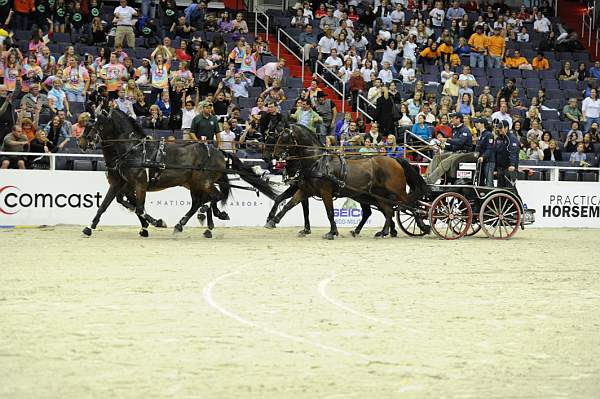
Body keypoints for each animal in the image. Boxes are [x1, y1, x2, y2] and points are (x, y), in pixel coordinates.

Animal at [77, 108, 278, 238]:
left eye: (96, 123)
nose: (82, 142)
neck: (132, 149)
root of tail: (218, 151)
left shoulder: (139, 184)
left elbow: (139, 207)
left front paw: (156, 223)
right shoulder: (119, 183)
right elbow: (106, 205)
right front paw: (89, 227)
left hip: (203, 182)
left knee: (212, 197)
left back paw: (209, 220)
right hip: (194, 184)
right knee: (200, 202)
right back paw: (191, 225)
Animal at [266, 124, 426, 241]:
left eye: (285, 137)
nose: (275, 155)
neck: (316, 162)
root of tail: (395, 160)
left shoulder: (325, 191)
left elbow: (330, 212)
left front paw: (332, 232)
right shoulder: (305, 190)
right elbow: (289, 204)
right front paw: (273, 220)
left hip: (397, 191)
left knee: (411, 206)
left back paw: (423, 226)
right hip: (376, 195)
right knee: (387, 211)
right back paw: (382, 232)